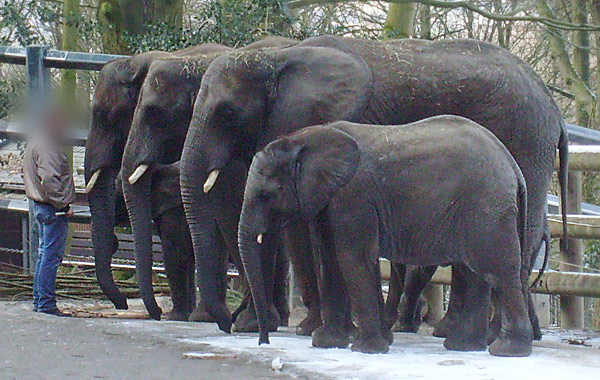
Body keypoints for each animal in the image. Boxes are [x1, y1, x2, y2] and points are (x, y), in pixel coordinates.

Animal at [237, 115, 532, 356]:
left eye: (266, 195)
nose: (264, 341)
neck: (304, 137)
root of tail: (513, 166)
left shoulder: (353, 196)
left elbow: (352, 258)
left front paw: (367, 349)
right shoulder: (328, 199)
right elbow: (329, 260)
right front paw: (327, 344)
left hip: (486, 207)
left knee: (496, 270)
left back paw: (507, 351)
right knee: (473, 274)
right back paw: (463, 346)